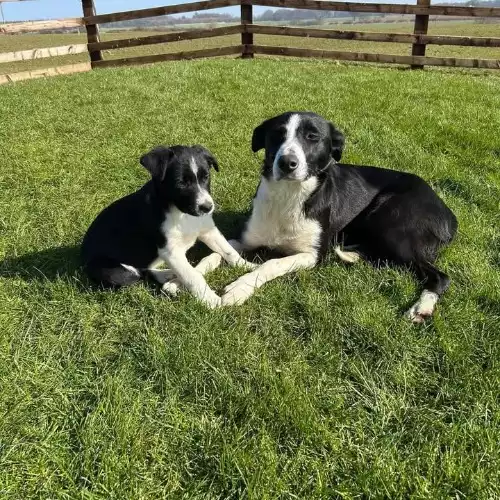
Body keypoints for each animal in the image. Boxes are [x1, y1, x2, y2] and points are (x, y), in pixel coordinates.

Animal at [83, 145, 254, 308]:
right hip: (113, 271)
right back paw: (168, 274)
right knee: (139, 274)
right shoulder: (170, 251)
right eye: (181, 183)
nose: (207, 207)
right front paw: (211, 300)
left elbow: (228, 250)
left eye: (206, 177)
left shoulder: (208, 230)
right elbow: (193, 276)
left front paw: (248, 266)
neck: (181, 213)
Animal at [219, 111, 458, 322]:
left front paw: (240, 287)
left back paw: (422, 307)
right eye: (277, 134)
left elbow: (272, 263)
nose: (287, 163)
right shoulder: (245, 239)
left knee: (440, 276)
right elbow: (222, 249)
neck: (289, 195)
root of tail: (447, 211)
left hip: (389, 220)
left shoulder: (312, 255)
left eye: (312, 137)